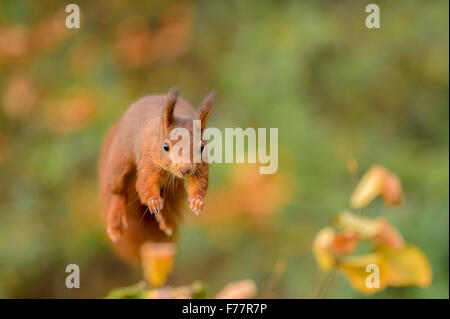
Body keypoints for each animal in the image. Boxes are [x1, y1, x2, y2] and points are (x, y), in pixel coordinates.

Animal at [99, 86, 215, 264]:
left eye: (201, 147)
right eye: (165, 146)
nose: (185, 169)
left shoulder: (200, 168)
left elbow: (199, 183)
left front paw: (197, 201)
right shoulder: (149, 160)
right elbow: (145, 183)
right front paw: (153, 200)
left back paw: (165, 220)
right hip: (119, 162)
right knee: (118, 190)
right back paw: (115, 219)